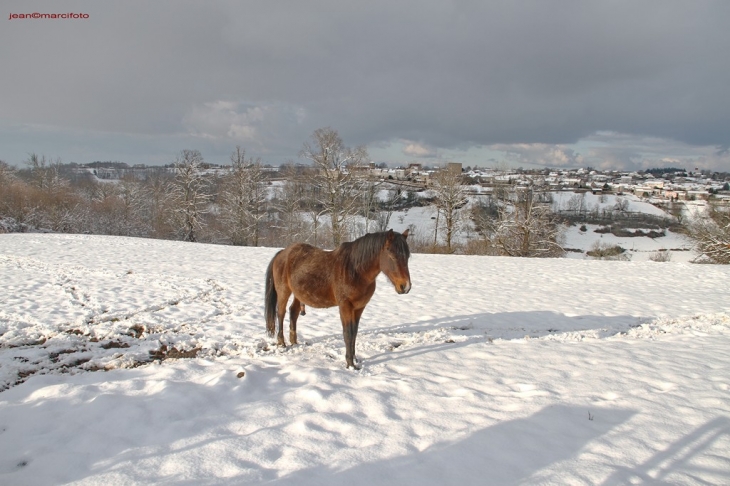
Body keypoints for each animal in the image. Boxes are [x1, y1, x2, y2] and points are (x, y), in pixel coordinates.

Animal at [264, 229, 412, 368]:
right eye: (391, 255)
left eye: (408, 256)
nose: (405, 286)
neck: (355, 271)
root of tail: (282, 253)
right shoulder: (345, 307)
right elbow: (348, 334)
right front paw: (350, 364)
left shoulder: (359, 308)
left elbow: (354, 333)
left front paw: (355, 359)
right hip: (284, 291)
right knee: (281, 313)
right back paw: (281, 343)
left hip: (299, 294)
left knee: (293, 312)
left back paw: (294, 342)